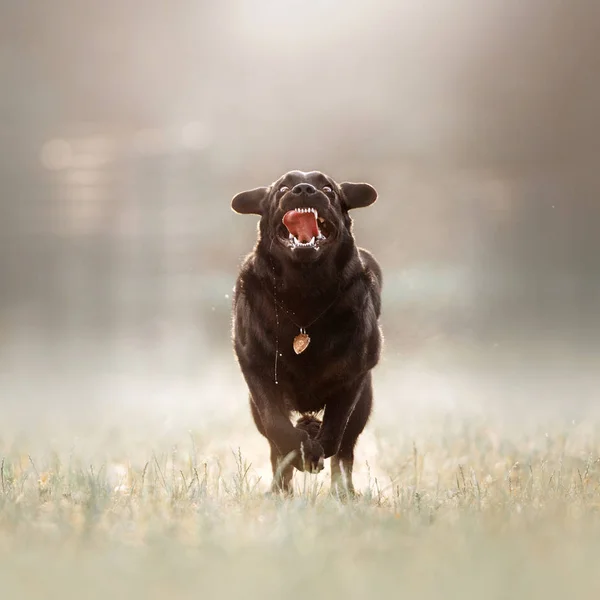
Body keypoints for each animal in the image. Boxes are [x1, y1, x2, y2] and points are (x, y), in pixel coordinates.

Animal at [232, 170, 382, 496]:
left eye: (327, 188)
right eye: (282, 189)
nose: (304, 189)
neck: (304, 292)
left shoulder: (353, 375)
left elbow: (336, 430)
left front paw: (315, 447)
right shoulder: (258, 370)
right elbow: (277, 427)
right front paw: (302, 449)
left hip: (364, 401)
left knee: (345, 451)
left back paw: (343, 493)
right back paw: (281, 490)